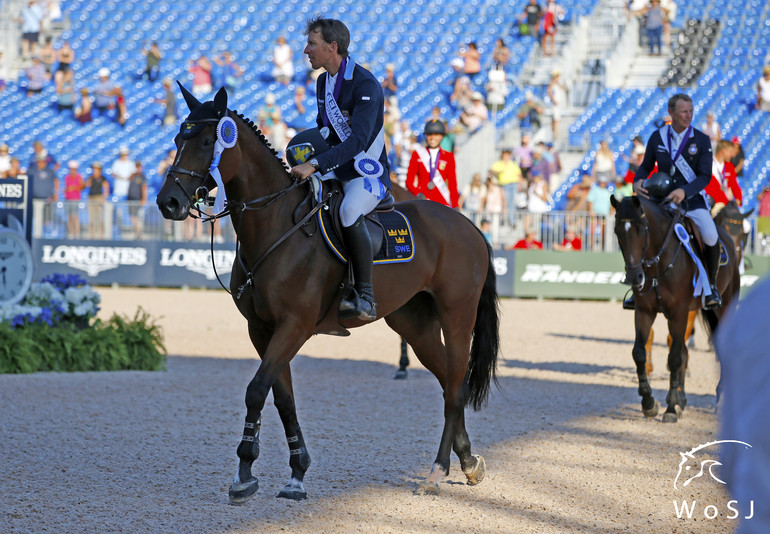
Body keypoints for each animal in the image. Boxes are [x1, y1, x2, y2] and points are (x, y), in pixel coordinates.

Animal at [154, 87, 498, 502]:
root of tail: (467, 225)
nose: (167, 202)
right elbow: (282, 397)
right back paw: (468, 462)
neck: (274, 226)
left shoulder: (294, 326)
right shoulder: (262, 329)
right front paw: (296, 473)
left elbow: (256, 390)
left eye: (208, 142)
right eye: (178, 140)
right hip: (415, 325)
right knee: (450, 382)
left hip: (457, 316)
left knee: (454, 390)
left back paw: (437, 471)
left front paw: (245, 473)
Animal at [608, 196, 736, 422]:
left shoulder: (679, 314)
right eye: (617, 231)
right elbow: (639, 353)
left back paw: (720, 400)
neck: (657, 263)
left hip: (724, 307)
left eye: (642, 229)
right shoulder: (644, 312)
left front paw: (671, 409)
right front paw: (649, 403)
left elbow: (675, 357)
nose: (634, 277)